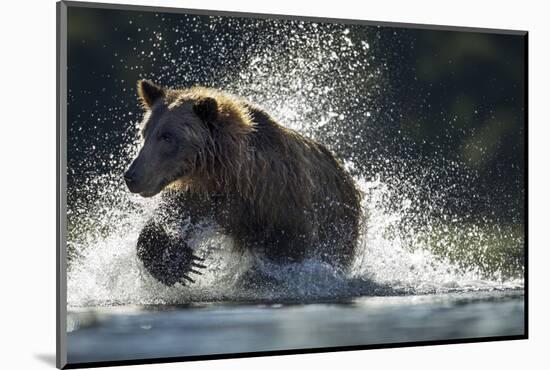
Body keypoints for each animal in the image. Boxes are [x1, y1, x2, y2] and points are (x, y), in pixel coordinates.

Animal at [126, 79, 364, 284]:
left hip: (339, 223)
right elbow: (168, 220)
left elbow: (287, 253)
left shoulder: (279, 204)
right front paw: (178, 263)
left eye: (167, 137)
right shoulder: (201, 195)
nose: (131, 176)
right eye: (145, 132)